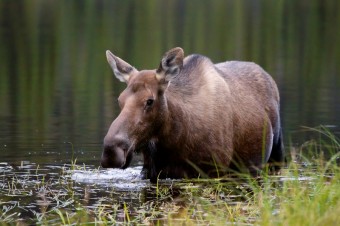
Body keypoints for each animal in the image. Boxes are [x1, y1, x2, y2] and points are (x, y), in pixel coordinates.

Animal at [101, 47, 284, 182]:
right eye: (120, 99)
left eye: (149, 101)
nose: (111, 151)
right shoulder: (150, 172)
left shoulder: (214, 170)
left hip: (275, 154)